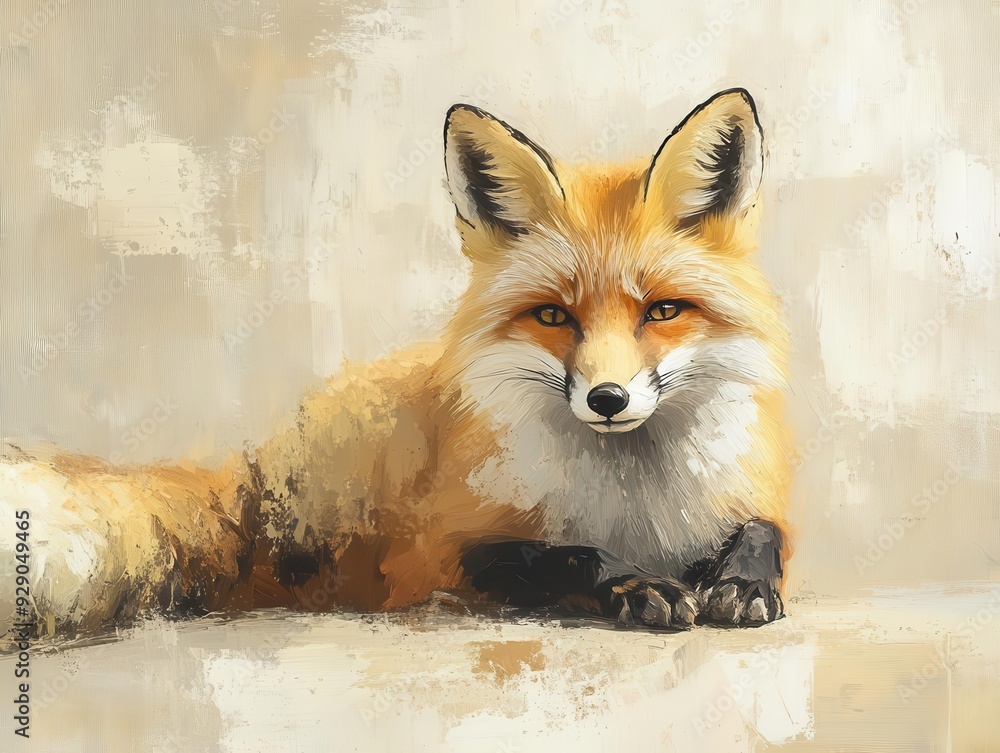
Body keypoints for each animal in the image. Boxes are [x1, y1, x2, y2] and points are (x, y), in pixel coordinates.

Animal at [0, 88, 791, 637]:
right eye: (553, 316)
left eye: (662, 311)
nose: (606, 399)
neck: (633, 500)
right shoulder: (437, 550)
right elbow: (566, 554)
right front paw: (638, 584)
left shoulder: (749, 500)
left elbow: (762, 531)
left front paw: (743, 582)